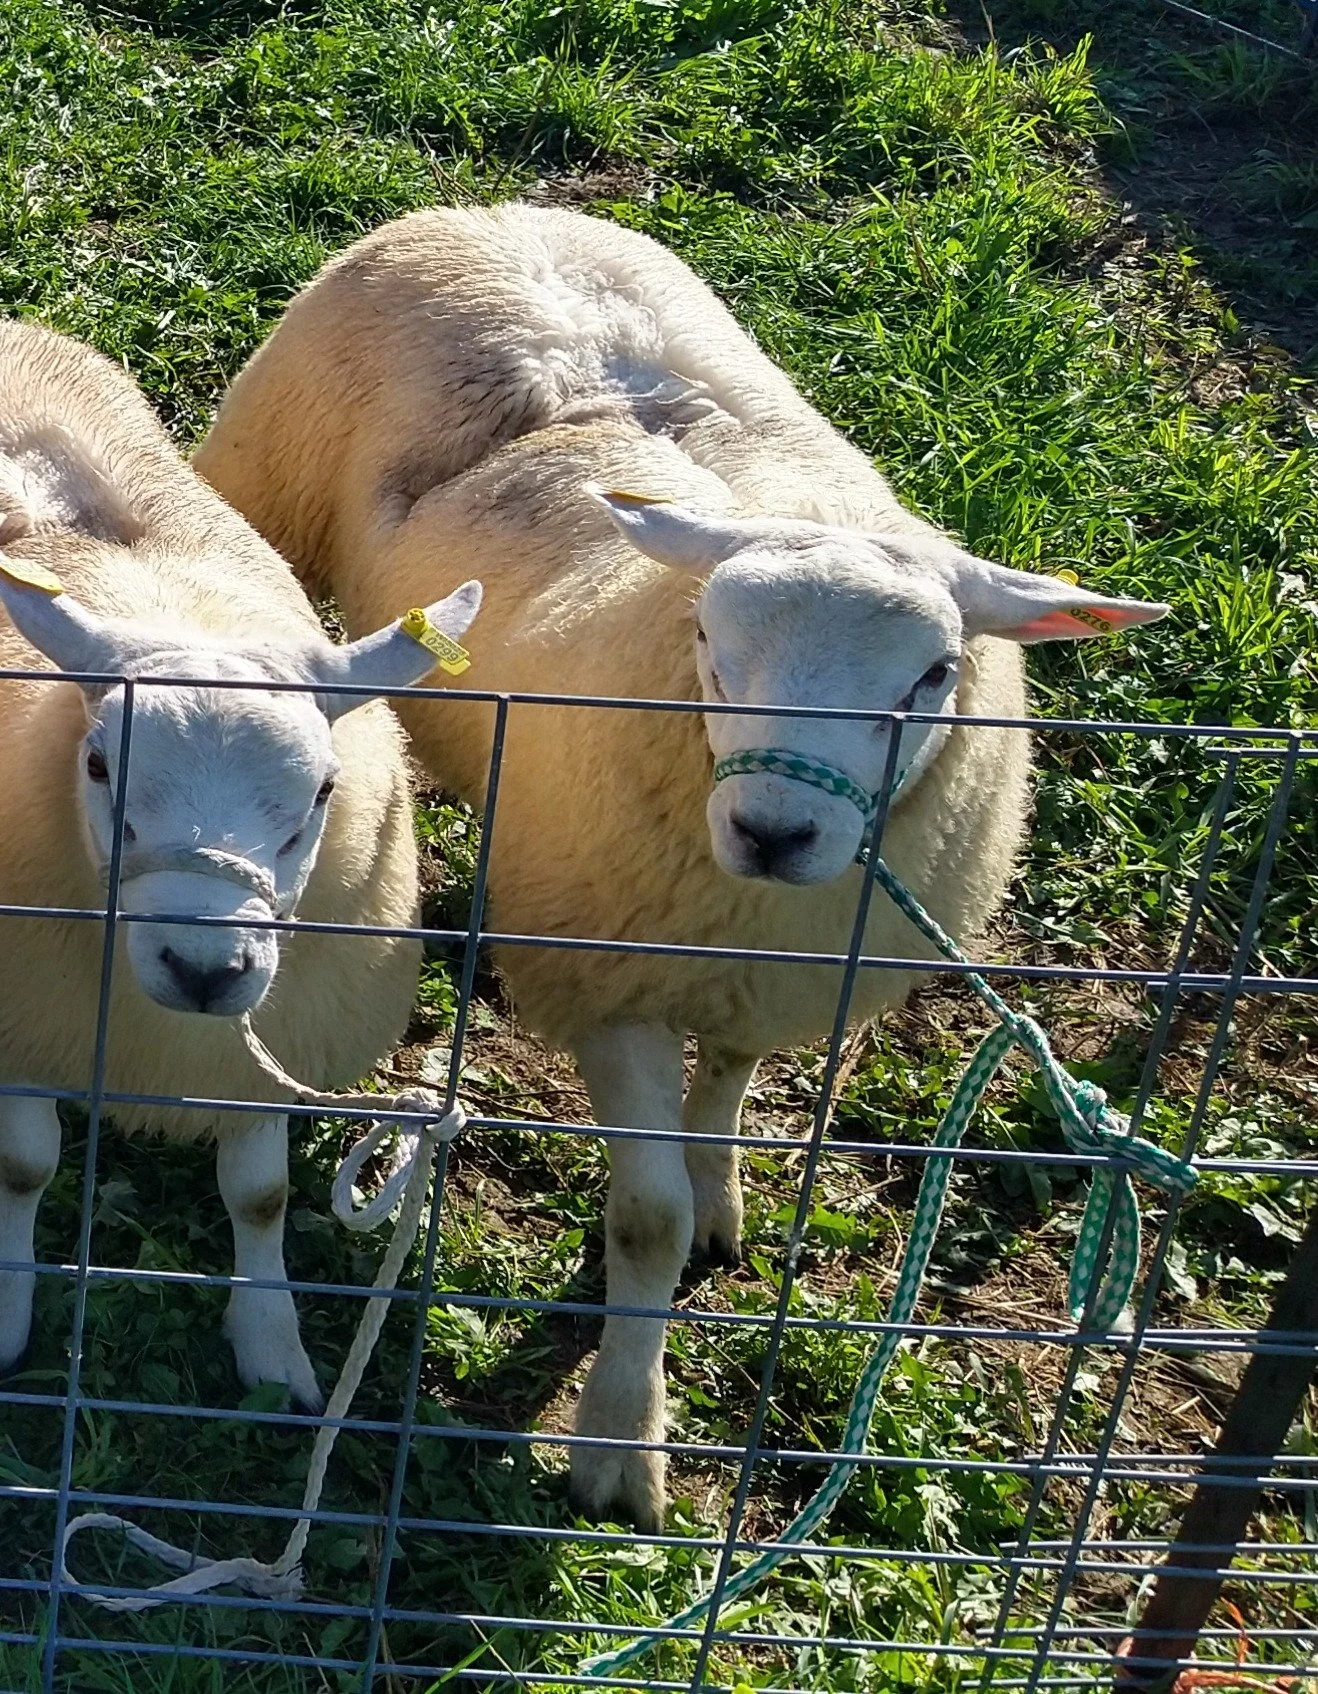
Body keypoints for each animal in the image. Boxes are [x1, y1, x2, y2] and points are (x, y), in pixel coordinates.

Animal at [0, 317, 481, 1412]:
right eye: (98, 764)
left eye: (322, 793)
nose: (205, 967)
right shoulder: (25, 1023)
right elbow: (23, 1169)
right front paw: (4, 1313)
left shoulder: (263, 1046)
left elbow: (259, 1196)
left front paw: (273, 1344)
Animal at [195, 203, 1168, 1527]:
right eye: (711, 637)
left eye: (933, 673)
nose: (774, 829)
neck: (741, 904)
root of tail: (496, 211)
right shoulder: (612, 983)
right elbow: (643, 1222)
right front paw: (620, 1439)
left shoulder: (773, 968)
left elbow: (736, 1081)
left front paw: (720, 1187)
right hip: (268, 487)